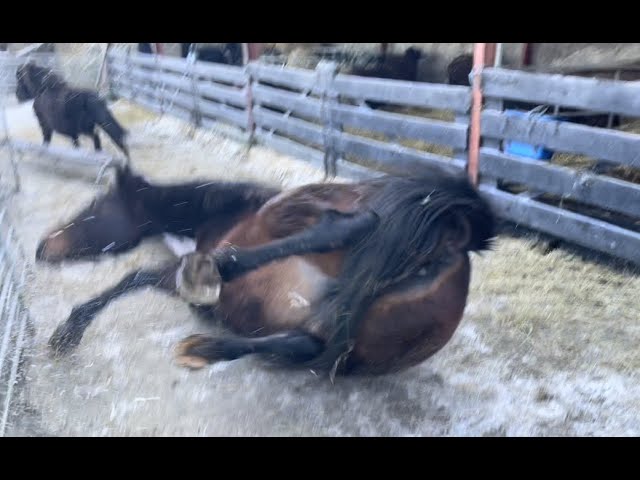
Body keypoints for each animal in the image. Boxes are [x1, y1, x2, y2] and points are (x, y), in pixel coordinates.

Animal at [37, 163, 496, 380]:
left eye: (94, 209)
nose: (43, 248)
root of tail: (455, 235)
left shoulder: (176, 273)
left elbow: (133, 278)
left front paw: (68, 332)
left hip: (303, 206)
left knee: (351, 225)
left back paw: (213, 275)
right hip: (353, 346)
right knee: (304, 345)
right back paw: (206, 346)